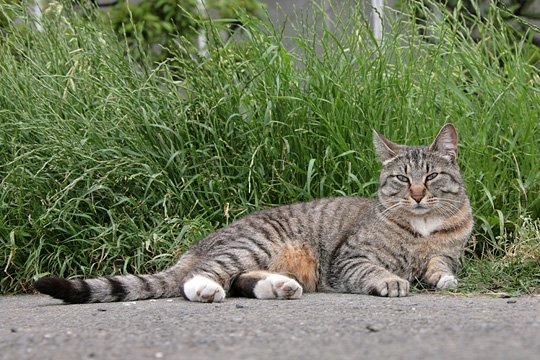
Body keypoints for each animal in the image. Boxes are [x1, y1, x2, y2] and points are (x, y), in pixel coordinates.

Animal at [33, 124, 472, 304]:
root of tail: (201, 244)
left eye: (431, 177)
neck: (421, 228)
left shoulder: (444, 253)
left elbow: (440, 266)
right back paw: (206, 290)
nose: (417, 195)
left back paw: (279, 287)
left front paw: (444, 280)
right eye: (402, 178)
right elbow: (375, 270)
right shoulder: (350, 259)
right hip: (257, 244)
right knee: (199, 277)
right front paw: (392, 281)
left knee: (241, 280)